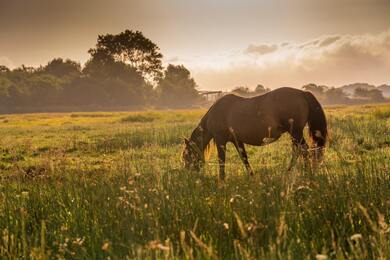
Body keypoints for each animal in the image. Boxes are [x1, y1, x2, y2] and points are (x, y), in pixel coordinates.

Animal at [182, 86, 326, 180]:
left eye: (186, 155)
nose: (189, 174)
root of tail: (302, 93)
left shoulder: (220, 140)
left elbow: (221, 160)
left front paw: (221, 179)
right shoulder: (237, 140)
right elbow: (244, 157)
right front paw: (251, 175)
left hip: (295, 132)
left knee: (303, 149)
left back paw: (306, 173)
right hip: (294, 134)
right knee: (297, 150)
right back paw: (290, 171)